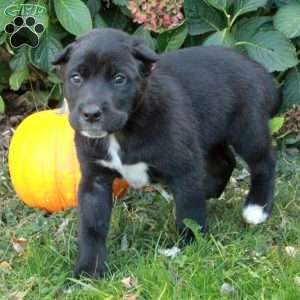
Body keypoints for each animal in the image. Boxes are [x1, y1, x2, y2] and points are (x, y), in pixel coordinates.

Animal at [52, 28, 280, 278]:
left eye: (119, 79)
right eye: (76, 78)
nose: (91, 114)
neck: (122, 131)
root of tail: (260, 70)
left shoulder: (184, 168)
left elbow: (189, 213)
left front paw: (190, 245)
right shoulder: (95, 180)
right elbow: (92, 226)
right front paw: (89, 270)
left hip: (247, 129)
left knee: (264, 162)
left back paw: (257, 208)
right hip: (208, 132)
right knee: (224, 161)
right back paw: (207, 191)